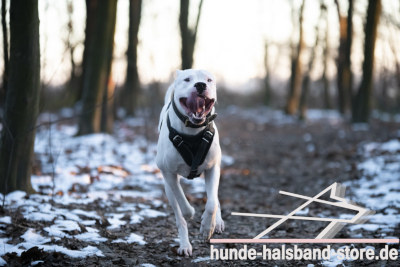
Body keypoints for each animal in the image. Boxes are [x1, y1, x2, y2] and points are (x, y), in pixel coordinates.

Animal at [156, 69, 225, 258]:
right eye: (187, 79)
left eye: (209, 80)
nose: (200, 85)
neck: (192, 131)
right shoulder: (168, 173)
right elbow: (181, 198)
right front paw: (190, 212)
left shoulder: (213, 168)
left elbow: (211, 203)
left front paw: (207, 227)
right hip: (167, 188)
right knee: (178, 213)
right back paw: (185, 245)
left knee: (215, 197)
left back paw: (217, 222)